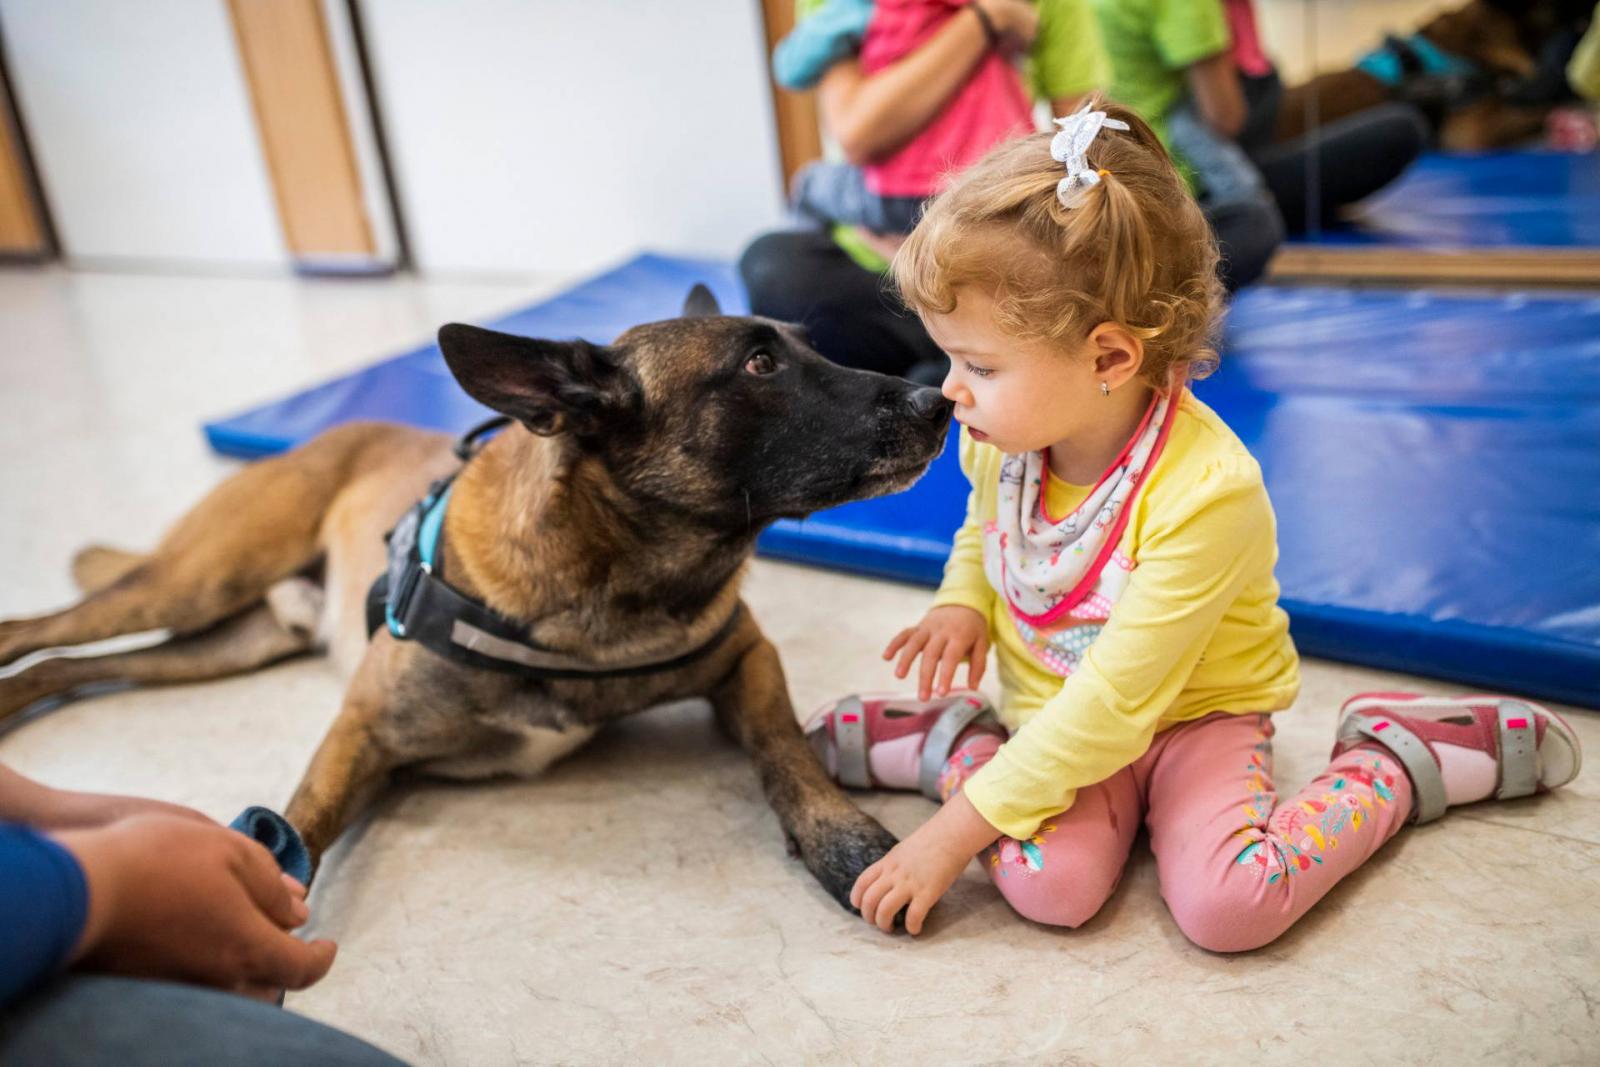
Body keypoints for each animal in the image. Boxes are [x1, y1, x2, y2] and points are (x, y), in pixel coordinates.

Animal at [0, 287, 947, 915]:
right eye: (759, 363)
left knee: (69, 664)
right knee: (39, 627)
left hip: (229, 638)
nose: (938, 399)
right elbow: (298, 822)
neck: (604, 576)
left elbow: (783, 747)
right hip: (199, 582)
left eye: (805, 345)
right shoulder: (363, 728)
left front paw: (837, 835)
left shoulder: (746, 656)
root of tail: (333, 430)